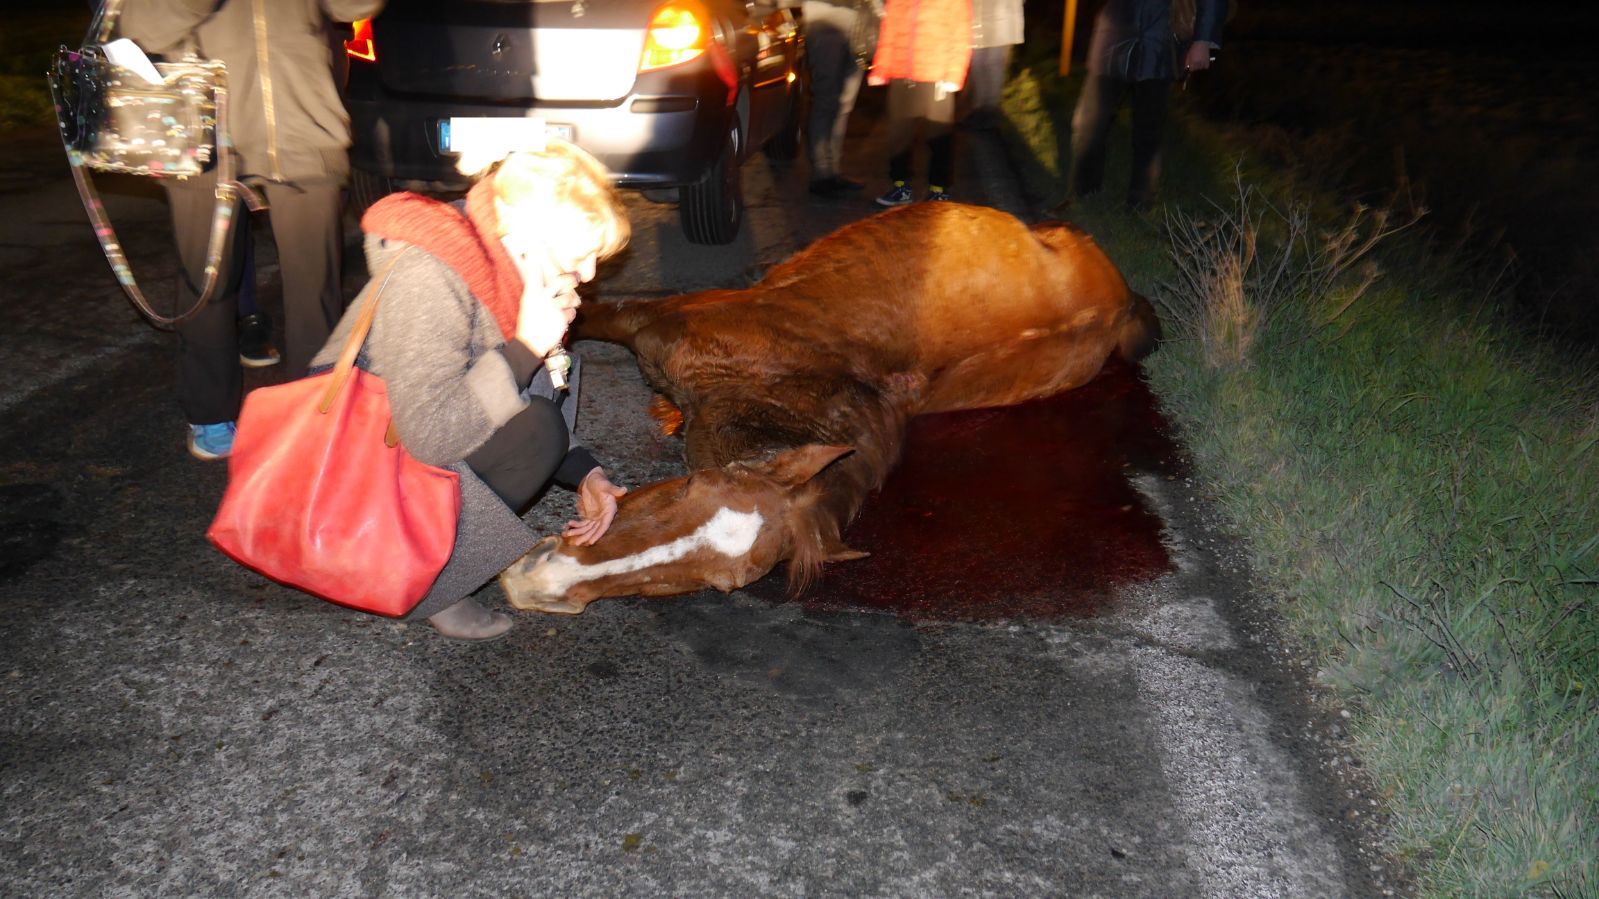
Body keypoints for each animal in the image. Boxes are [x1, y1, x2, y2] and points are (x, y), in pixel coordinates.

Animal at [499, 202, 1160, 614]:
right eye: (689, 487)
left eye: (720, 584)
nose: (535, 582)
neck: (774, 380)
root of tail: (1122, 300)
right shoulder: (643, 319)